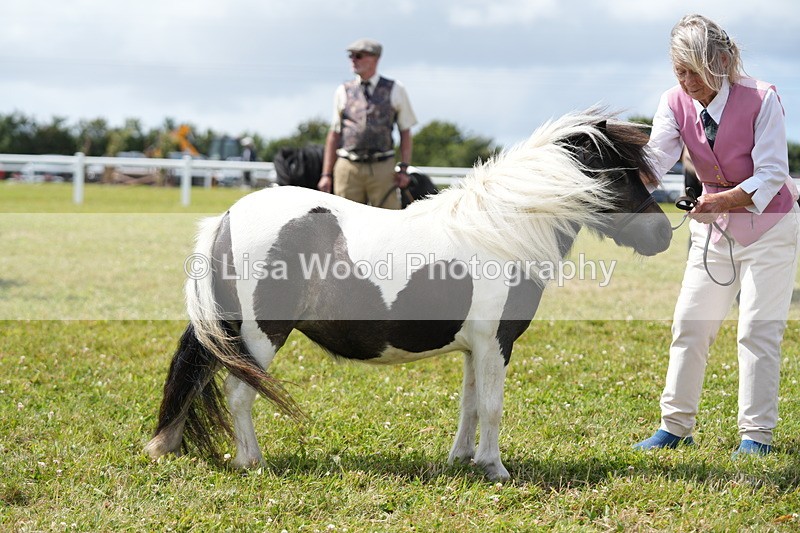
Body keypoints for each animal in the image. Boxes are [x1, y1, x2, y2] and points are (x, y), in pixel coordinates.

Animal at [144, 109, 672, 481]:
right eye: (620, 175)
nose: (664, 234)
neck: (502, 231)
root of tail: (227, 219)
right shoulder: (497, 343)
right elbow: (493, 406)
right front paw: (495, 468)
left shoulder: (474, 348)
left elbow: (470, 404)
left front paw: (462, 459)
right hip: (258, 337)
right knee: (240, 394)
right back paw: (252, 461)